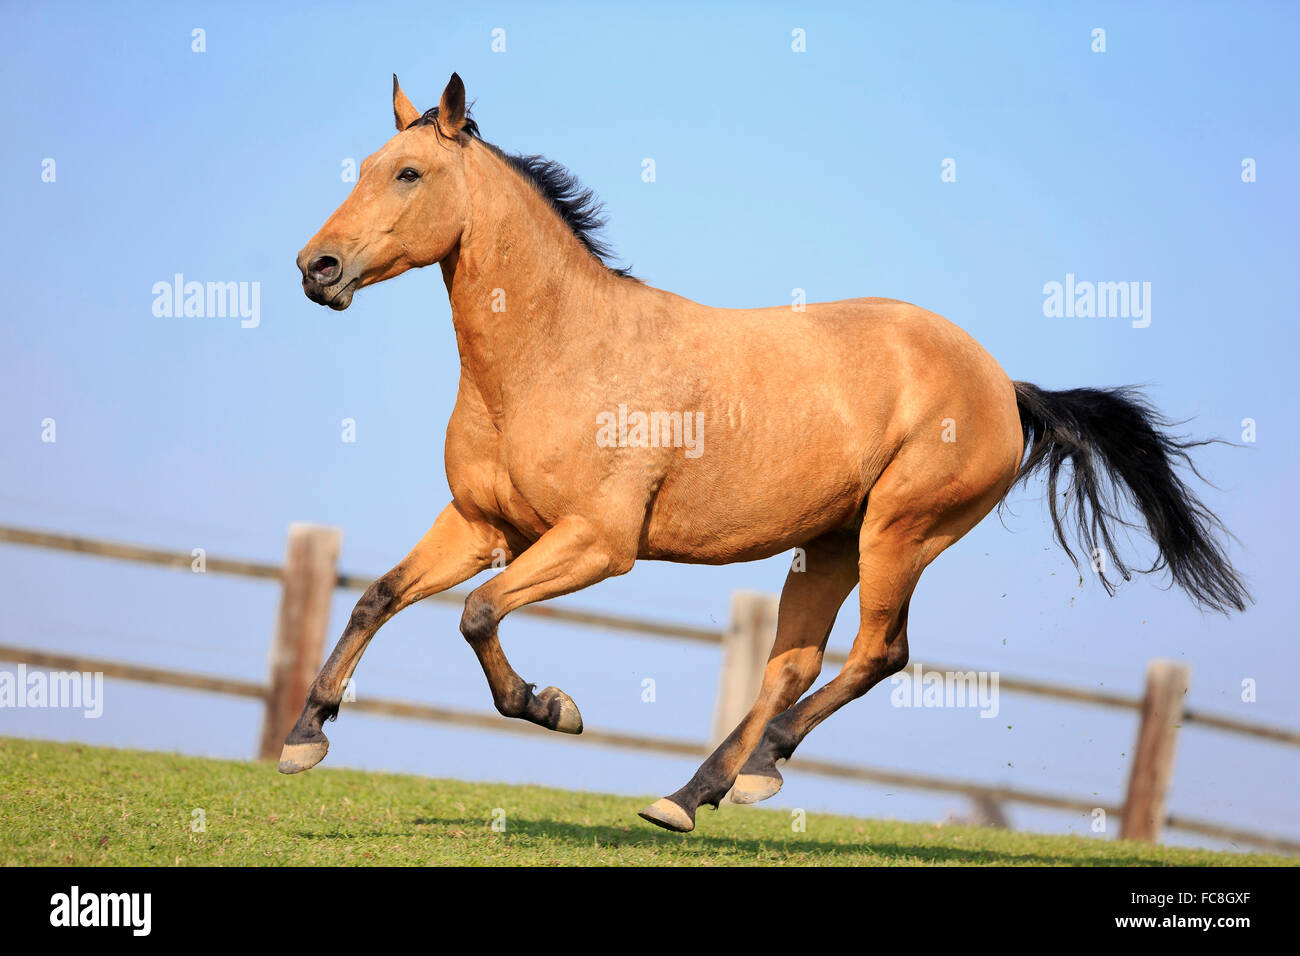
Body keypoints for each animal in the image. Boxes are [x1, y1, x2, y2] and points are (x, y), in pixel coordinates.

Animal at [287, 72, 1248, 832]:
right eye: (365, 167)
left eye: (408, 173)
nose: (316, 268)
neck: (556, 355)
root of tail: (1003, 386)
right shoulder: (483, 524)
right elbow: (380, 596)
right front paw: (305, 737)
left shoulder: (598, 543)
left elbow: (478, 614)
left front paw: (552, 708)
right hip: (827, 544)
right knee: (795, 662)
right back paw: (706, 789)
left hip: (901, 531)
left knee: (877, 654)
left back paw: (739, 776)